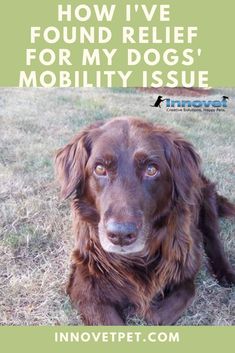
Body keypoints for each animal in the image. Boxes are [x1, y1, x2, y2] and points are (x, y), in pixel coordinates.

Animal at [55, 116, 235, 324]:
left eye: (151, 170)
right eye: (100, 168)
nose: (121, 235)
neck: (136, 259)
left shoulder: (186, 268)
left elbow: (163, 311)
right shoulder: (85, 284)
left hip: (205, 200)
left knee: (213, 236)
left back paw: (226, 272)